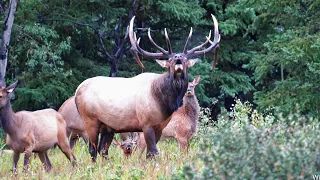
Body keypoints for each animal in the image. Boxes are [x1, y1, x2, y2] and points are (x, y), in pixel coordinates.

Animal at [75, 14, 220, 160]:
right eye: (170, 60)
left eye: (185, 60)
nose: (178, 57)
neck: (163, 102)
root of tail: (77, 90)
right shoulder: (146, 124)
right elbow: (154, 153)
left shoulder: (160, 127)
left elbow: (149, 154)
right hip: (90, 120)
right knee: (92, 149)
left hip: (109, 126)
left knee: (103, 150)